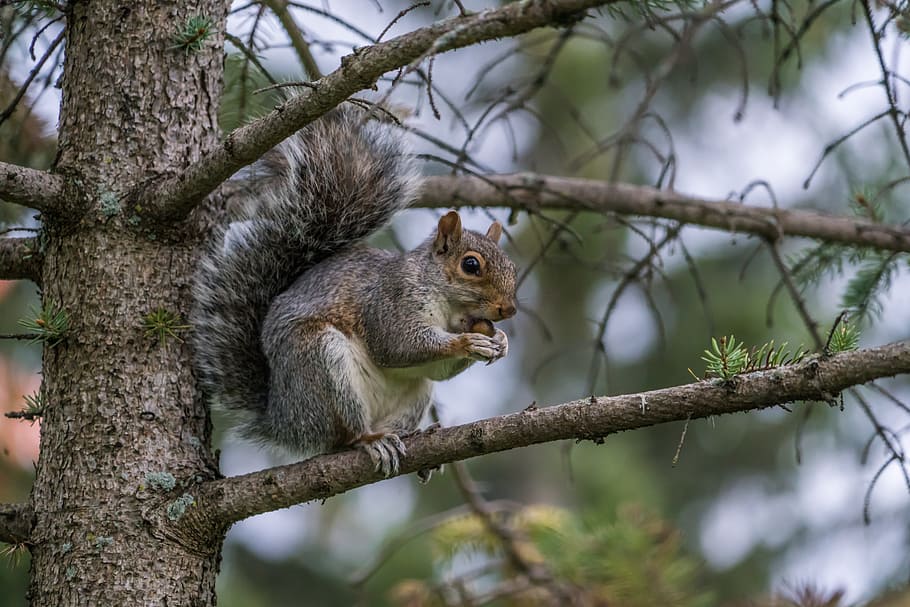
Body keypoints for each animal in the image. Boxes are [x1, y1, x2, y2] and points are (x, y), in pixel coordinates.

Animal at [191, 108, 518, 476]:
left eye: (511, 266)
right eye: (471, 265)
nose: (508, 309)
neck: (450, 308)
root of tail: (282, 420)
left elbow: (438, 367)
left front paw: (500, 340)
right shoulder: (390, 300)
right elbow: (397, 345)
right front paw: (468, 342)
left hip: (415, 392)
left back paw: (414, 435)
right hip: (320, 363)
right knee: (342, 436)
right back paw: (369, 440)